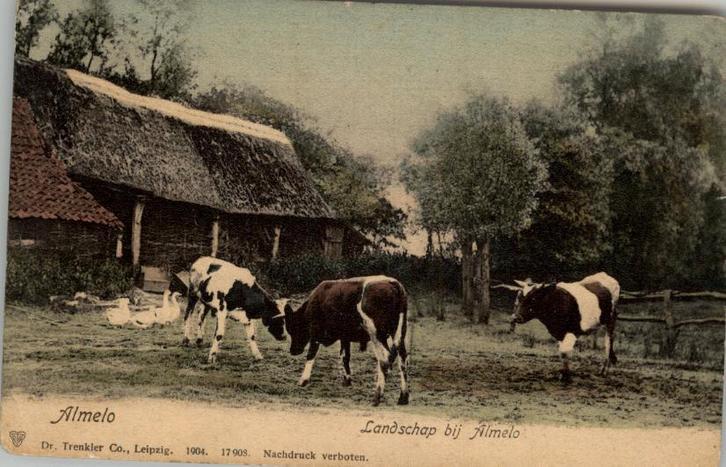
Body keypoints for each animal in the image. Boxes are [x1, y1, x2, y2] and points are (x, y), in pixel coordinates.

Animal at [283, 275, 409, 406]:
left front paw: (303, 380)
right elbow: (344, 356)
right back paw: (403, 397)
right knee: (402, 359)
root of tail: (392, 282)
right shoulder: (344, 337)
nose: (293, 351)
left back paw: (377, 397)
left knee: (384, 360)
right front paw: (347, 380)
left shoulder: (315, 332)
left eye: (292, 329)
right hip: (399, 333)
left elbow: (311, 355)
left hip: (376, 334)